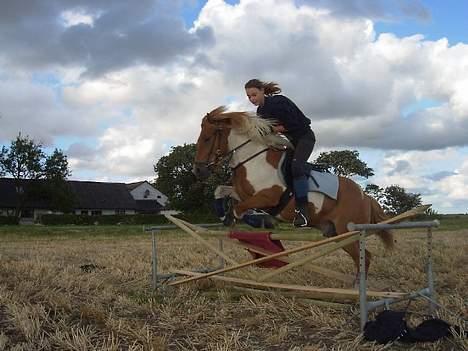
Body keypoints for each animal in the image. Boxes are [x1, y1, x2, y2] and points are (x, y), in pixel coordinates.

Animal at [192, 106, 394, 282]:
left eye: (207, 139)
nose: (198, 171)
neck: (252, 161)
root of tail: (365, 197)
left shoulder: (268, 197)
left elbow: (240, 209)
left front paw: (257, 220)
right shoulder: (242, 193)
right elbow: (221, 191)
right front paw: (223, 215)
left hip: (348, 231)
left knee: (365, 257)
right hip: (335, 233)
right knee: (363, 256)